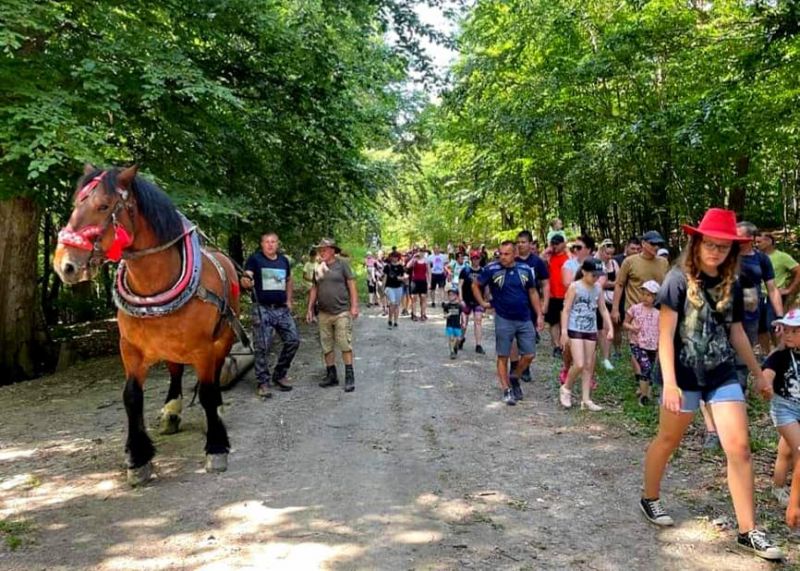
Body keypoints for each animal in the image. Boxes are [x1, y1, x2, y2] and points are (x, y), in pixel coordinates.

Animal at [54, 163, 238, 484]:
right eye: (76, 203)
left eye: (103, 206)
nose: (64, 265)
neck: (155, 287)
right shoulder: (130, 349)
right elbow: (131, 397)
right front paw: (138, 458)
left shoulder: (203, 348)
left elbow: (206, 391)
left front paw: (216, 445)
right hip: (172, 347)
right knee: (176, 372)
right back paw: (172, 411)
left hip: (223, 337)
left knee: (214, 376)